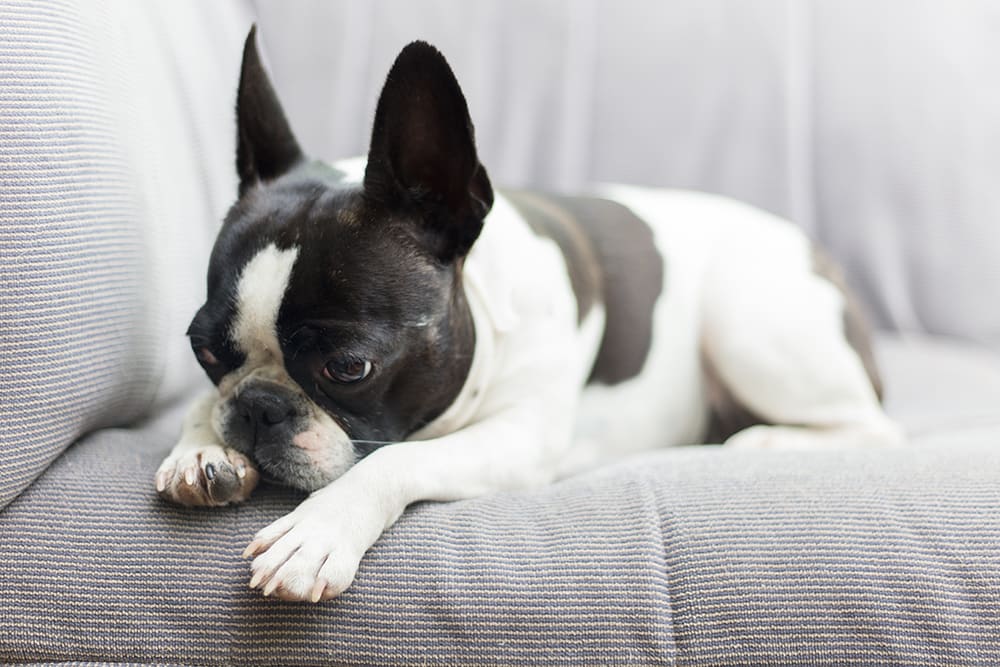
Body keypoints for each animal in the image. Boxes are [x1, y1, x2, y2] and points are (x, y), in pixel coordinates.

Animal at [152, 26, 904, 604]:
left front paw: (320, 529)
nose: (259, 408)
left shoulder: (520, 438)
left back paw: (769, 440)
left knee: (872, 426)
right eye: (204, 351)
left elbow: (393, 459)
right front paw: (200, 446)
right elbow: (202, 408)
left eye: (348, 368)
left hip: (748, 324)